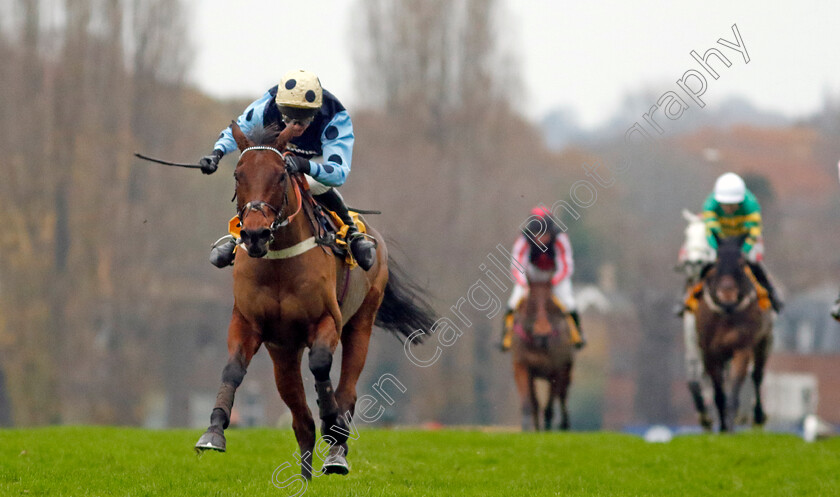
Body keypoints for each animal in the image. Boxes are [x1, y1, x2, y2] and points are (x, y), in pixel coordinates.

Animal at [194, 121, 436, 476]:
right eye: (238, 174)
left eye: (281, 175)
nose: (254, 234)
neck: (280, 261)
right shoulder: (249, 323)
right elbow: (233, 369)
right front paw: (213, 432)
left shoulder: (326, 320)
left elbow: (321, 364)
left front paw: (332, 426)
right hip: (283, 351)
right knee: (301, 419)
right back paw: (306, 468)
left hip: (361, 322)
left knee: (346, 390)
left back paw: (336, 447)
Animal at [508, 280, 576, 430]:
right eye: (531, 304)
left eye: (550, 304)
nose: (542, 335)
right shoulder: (522, 366)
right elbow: (529, 403)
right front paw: (528, 429)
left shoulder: (556, 370)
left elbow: (549, 407)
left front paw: (548, 427)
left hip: (567, 369)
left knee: (562, 395)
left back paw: (564, 424)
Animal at [692, 232, 772, 430]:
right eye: (717, 260)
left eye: (741, 262)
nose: (727, 293)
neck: (727, 311)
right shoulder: (709, 352)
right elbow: (719, 393)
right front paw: (722, 426)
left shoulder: (742, 348)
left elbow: (735, 387)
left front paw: (730, 422)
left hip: (765, 341)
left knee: (757, 376)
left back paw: (758, 416)